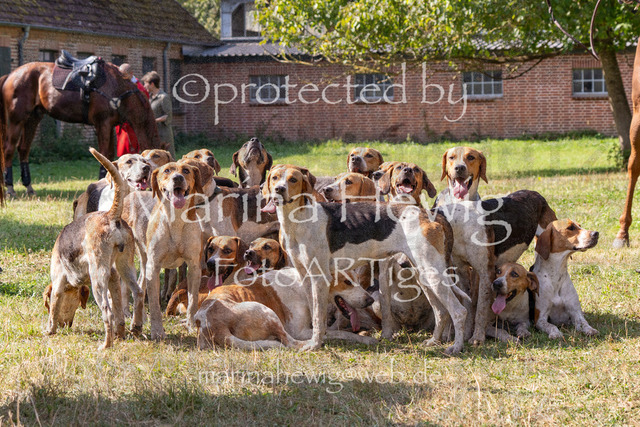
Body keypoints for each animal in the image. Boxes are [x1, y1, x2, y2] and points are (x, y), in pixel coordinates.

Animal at [0, 55, 162, 198]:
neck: (118, 89)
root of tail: (10, 75)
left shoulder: (109, 125)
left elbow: (109, 155)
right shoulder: (102, 123)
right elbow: (104, 154)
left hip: (33, 118)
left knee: (23, 149)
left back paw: (28, 186)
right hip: (17, 119)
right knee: (9, 149)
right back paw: (10, 188)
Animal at [45, 148, 143, 349]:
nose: (65, 326)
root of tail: (111, 216)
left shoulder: (57, 281)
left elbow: (54, 308)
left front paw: (50, 330)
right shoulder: (113, 278)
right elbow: (120, 314)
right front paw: (121, 334)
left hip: (98, 279)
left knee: (107, 312)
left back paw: (106, 345)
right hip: (125, 267)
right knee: (137, 293)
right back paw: (134, 328)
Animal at [195, 267, 376, 350]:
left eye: (358, 280)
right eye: (347, 282)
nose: (371, 300)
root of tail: (212, 325)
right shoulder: (300, 331)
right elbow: (340, 333)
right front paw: (365, 339)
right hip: (267, 312)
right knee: (291, 343)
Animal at [261, 164, 469, 354]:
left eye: (293, 179)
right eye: (275, 177)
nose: (279, 189)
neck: (299, 219)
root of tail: (430, 214)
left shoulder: (320, 279)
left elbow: (320, 319)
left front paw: (315, 345)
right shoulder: (306, 277)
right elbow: (316, 316)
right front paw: (317, 340)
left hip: (433, 275)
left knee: (459, 311)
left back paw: (456, 347)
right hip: (424, 276)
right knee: (442, 312)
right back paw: (434, 341)